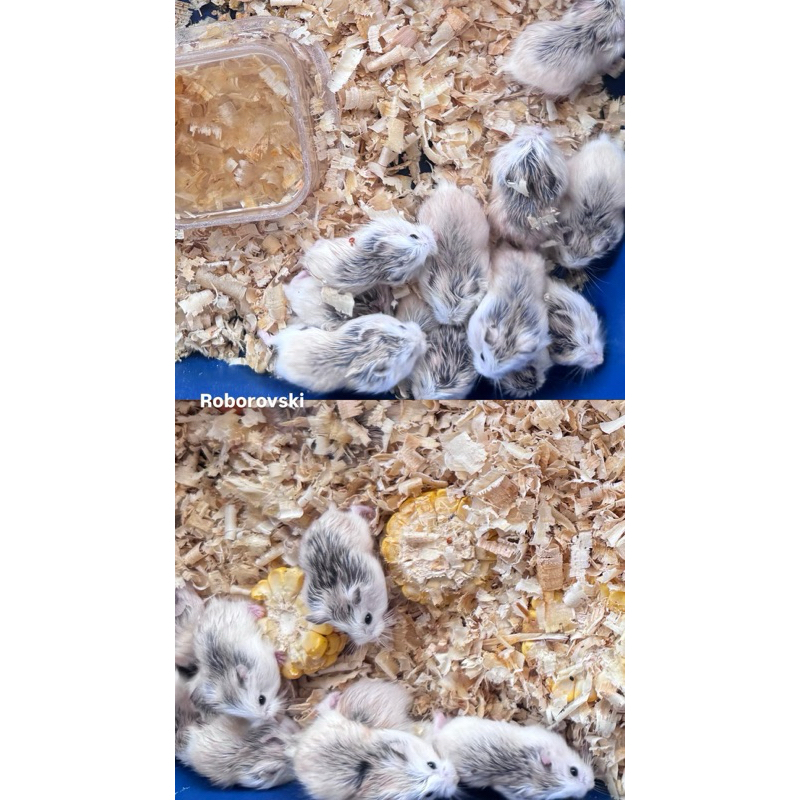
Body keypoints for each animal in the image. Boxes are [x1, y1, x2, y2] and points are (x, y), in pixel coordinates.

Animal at [263, 315, 426, 395]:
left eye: (402, 326)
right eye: (411, 356)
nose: (425, 338)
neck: (366, 352)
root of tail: (283, 348)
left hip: (294, 331)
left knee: (272, 339)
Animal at [293, 694, 459, 800]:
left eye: (431, 764)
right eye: (429, 795)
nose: (456, 779)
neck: (378, 770)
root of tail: (298, 748)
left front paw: (438, 712)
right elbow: (436, 732)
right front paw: (439, 714)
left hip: (333, 719)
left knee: (324, 708)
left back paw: (337, 695)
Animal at [298, 506, 389, 646]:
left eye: (368, 618)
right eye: (345, 632)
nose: (371, 640)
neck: (335, 596)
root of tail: (332, 512)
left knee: (354, 509)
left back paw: (371, 512)